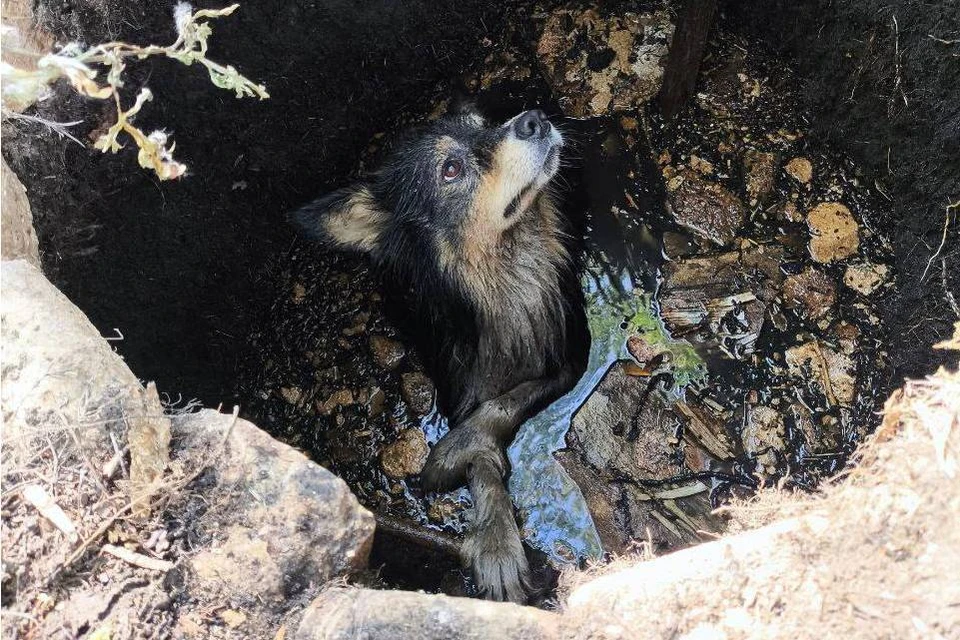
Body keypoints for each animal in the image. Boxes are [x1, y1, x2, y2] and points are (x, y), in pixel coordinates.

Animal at [292, 102, 588, 604]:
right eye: (451, 169)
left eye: (485, 124)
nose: (533, 118)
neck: (505, 276)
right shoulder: (457, 388)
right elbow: (484, 465)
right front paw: (496, 542)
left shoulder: (572, 360)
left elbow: (503, 404)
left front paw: (451, 453)